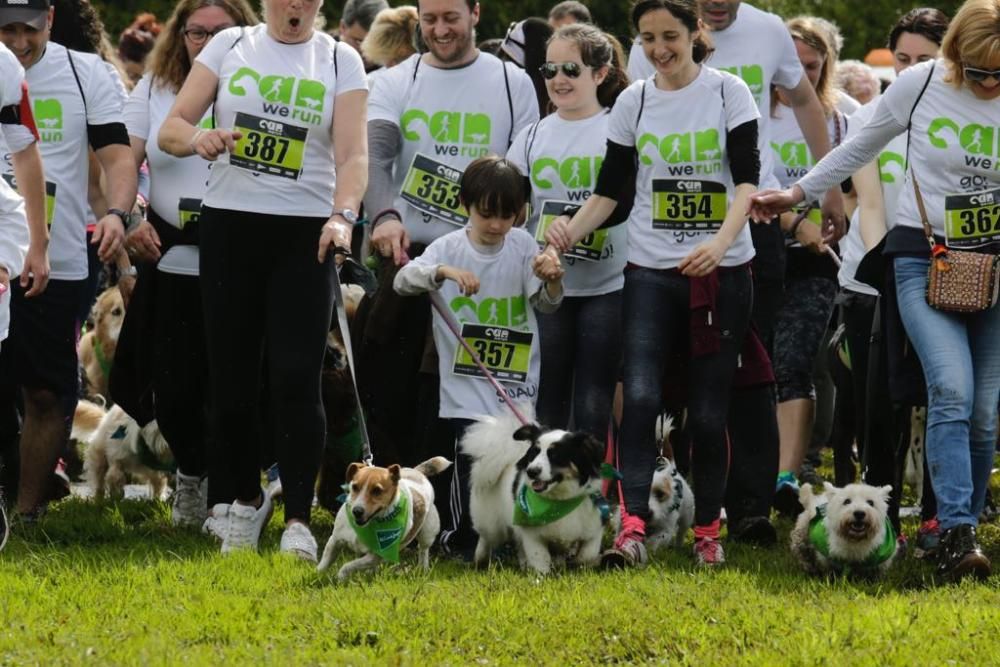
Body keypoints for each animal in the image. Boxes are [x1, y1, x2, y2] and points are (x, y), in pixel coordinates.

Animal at [318, 456, 452, 580]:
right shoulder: (335, 540)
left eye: (377, 490)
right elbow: (325, 561)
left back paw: (422, 569)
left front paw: (340, 577)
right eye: (354, 487)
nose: (356, 511)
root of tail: (418, 473)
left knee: (423, 550)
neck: (366, 526)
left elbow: (348, 566)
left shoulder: (376, 556)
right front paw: (317, 575)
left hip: (427, 534)